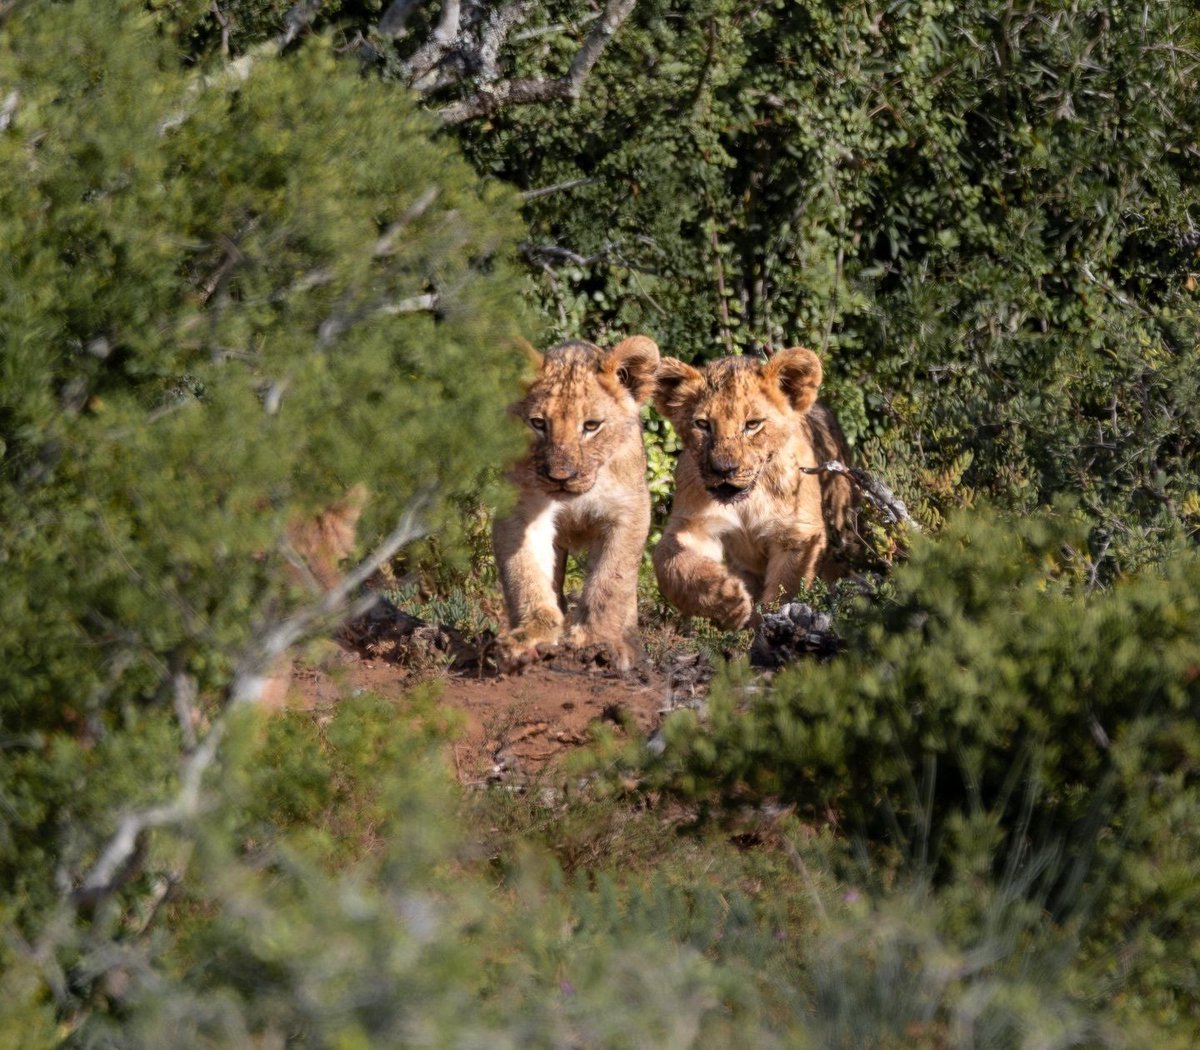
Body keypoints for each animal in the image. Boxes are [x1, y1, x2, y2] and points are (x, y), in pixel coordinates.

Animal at [493, 336, 661, 671]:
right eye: (538, 423)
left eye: (592, 425)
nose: (560, 477)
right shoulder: (520, 510)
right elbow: (525, 575)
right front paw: (529, 639)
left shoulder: (628, 512)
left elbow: (610, 582)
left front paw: (595, 643)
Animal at [652, 348, 859, 630]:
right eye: (703, 424)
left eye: (752, 424)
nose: (723, 469)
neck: (747, 501)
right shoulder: (694, 524)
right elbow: (668, 562)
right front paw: (729, 599)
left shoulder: (797, 534)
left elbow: (787, 588)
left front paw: (765, 627)